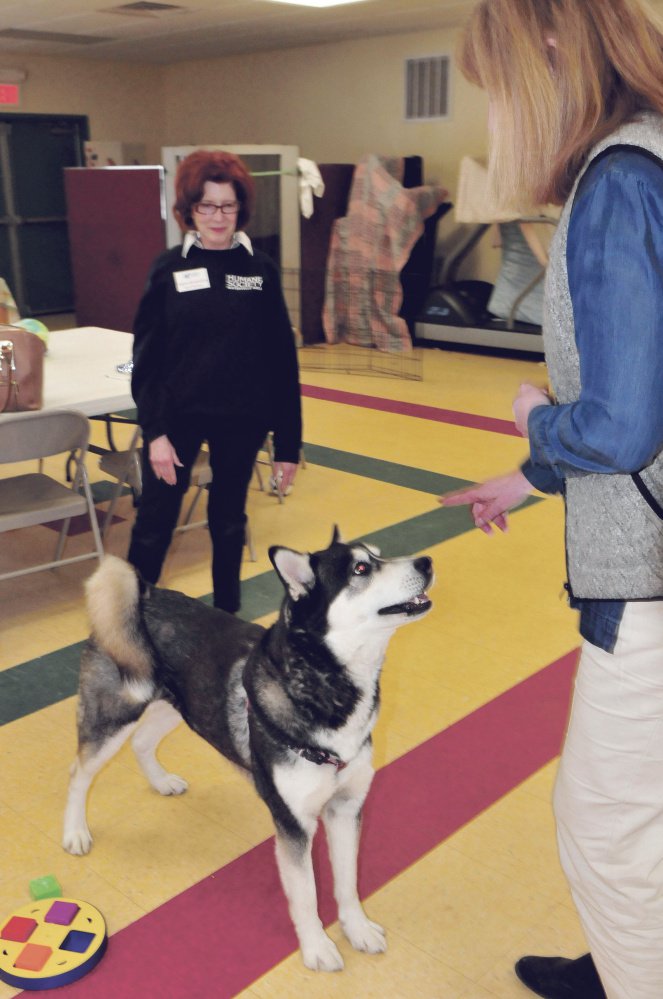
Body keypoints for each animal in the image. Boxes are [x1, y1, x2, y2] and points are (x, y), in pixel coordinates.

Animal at [63, 528, 436, 972]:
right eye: (361, 569)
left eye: (378, 555)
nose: (426, 562)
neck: (328, 688)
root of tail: (144, 594)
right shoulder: (294, 824)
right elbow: (306, 894)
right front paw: (317, 947)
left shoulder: (347, 807)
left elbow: (348, 881)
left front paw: (356, 928)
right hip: (115, 713)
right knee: (79, 772)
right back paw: (75, 832)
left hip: (185, 705)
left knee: (142, 741)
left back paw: (162, 781)